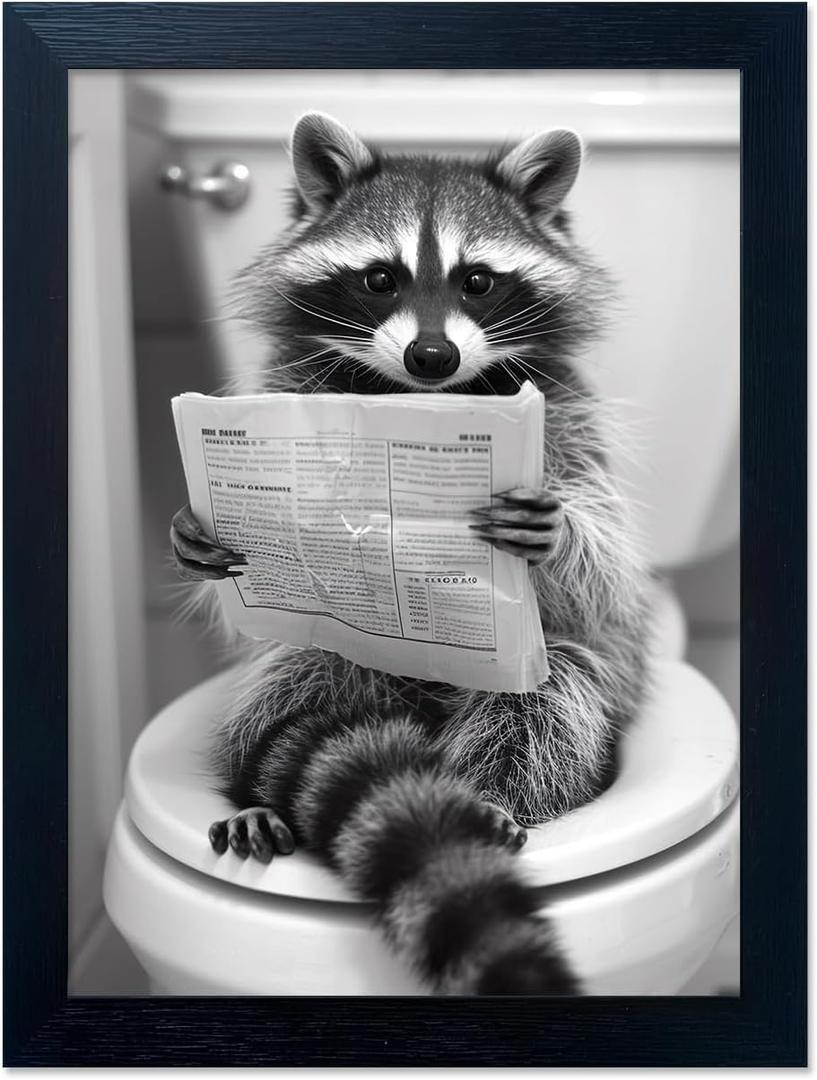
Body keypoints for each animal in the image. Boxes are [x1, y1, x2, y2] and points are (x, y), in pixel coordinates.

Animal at [170, 113, 650, 994]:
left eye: (477, 281)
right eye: (379, 279)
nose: (432, 357)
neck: (423, 402)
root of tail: (421, 733)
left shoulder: (568, 416)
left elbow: (605, 572)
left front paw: (559, 532)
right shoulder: (290, 387)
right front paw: (196, 530)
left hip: (569, 682)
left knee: (549, 694)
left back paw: (494, 793)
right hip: (346, 672)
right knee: (297, 669)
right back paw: (258, 786)